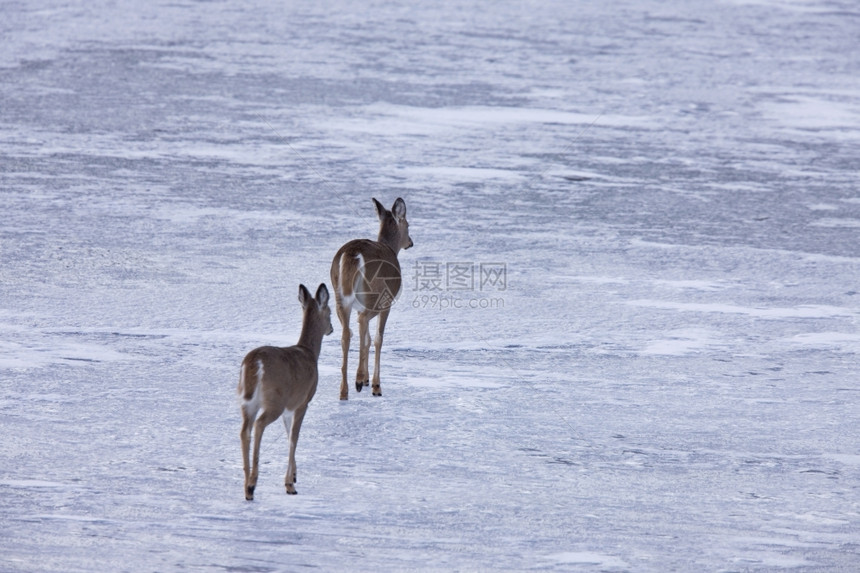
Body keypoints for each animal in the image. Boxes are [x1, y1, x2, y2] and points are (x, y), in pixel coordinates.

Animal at [239, 284, 332, 498]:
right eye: (330, 312)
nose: (331, 329)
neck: (309, 352)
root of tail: (255, 363)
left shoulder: (289, 408)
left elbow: (289, 434)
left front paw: (295, 476)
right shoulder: (303, 401)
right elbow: (294, 438)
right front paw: (290, 484)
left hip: (247, 401)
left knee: (244, 430)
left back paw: (247, 487)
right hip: (275, 399)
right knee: (259, 425)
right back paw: (252, 483)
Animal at [330, 197, 414, 398]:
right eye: (408, 224)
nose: (410, 242)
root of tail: (353, 254)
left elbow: (366, 338)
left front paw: (368, 380)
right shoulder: (387, 303)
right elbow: (377, 339)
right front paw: (374, 384)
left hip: (340, 296)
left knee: (347, 333)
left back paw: (344, 390)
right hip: (376, 295)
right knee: (362, 323)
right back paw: (360, 381)